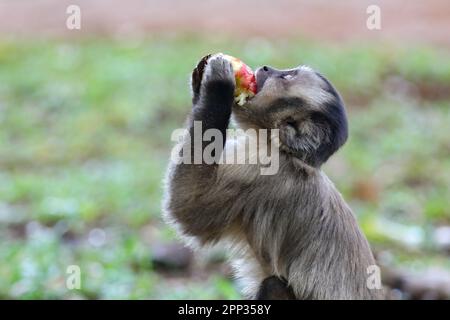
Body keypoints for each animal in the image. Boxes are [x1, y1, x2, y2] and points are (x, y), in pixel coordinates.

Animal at [162, 53, 384, 300]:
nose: (266, 68)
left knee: (273, 284)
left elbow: (189, 208)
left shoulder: (262, 169)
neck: (290, 156)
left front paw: (219, 85)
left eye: (285, 76)